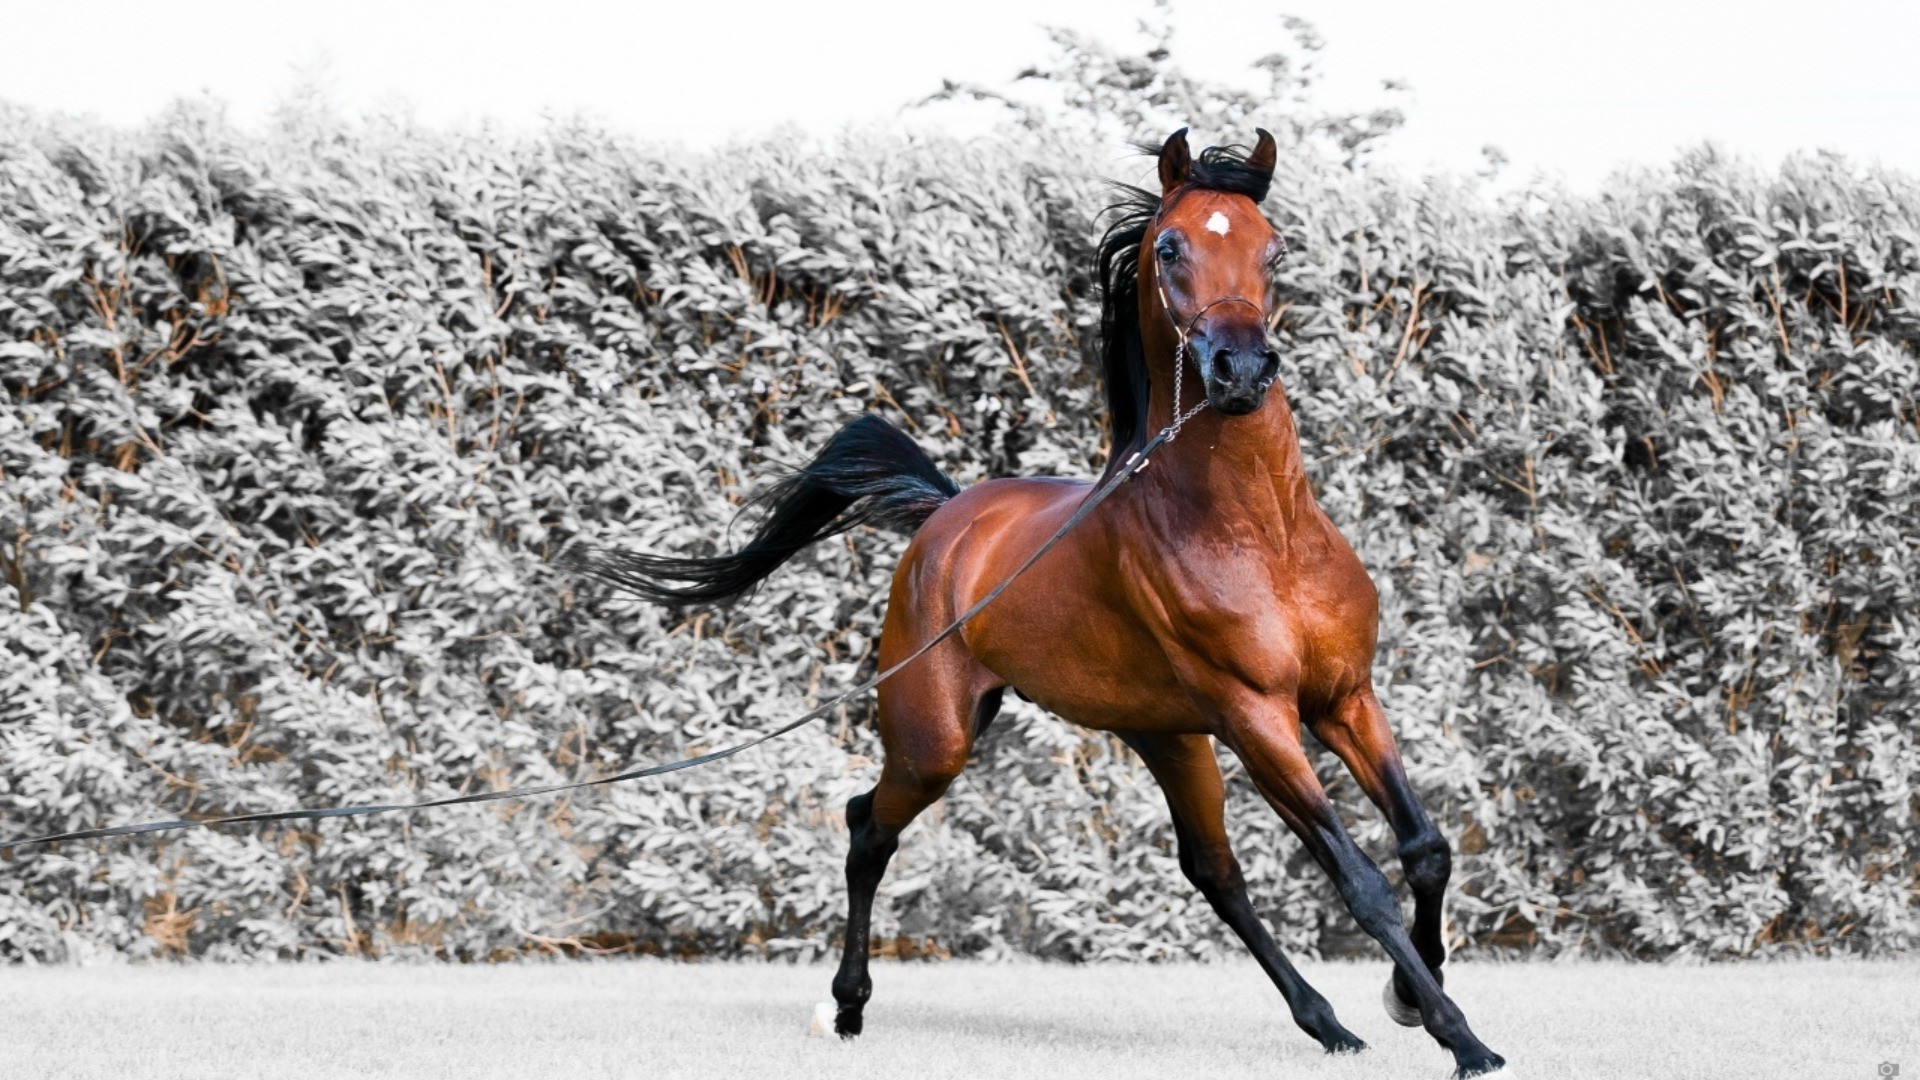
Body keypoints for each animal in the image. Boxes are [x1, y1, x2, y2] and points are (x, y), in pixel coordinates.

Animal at [591, 127, 1505, 1076]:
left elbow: (1426, 849)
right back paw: (846, 1008)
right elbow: (1361, 881)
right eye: (1170, 246)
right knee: (866, 827)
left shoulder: (1345, 698)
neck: (1263, 535)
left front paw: (1410, 997)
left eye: (1274, 246)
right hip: (937, 739)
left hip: (1169, 737)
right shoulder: (1259, 718)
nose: (1241, 370)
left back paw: (1328, 1024)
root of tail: (946, 514)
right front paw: (1461, 1036)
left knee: (1212, 871)